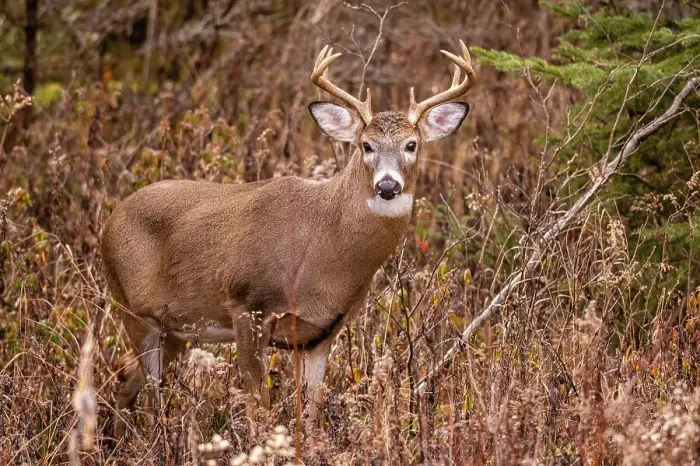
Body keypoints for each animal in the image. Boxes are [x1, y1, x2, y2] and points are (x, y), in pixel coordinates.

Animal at [102, 40, 476, 439]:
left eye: (412, 144)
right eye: (366, 145)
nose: (387, 186)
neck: (321, 253)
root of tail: (110, 219)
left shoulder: (322, 331)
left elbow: (312, 409)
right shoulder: (247, 303)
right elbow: (259, 406)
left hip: (174, 331)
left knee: (125, 375)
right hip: (132, 309)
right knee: (149, 387)